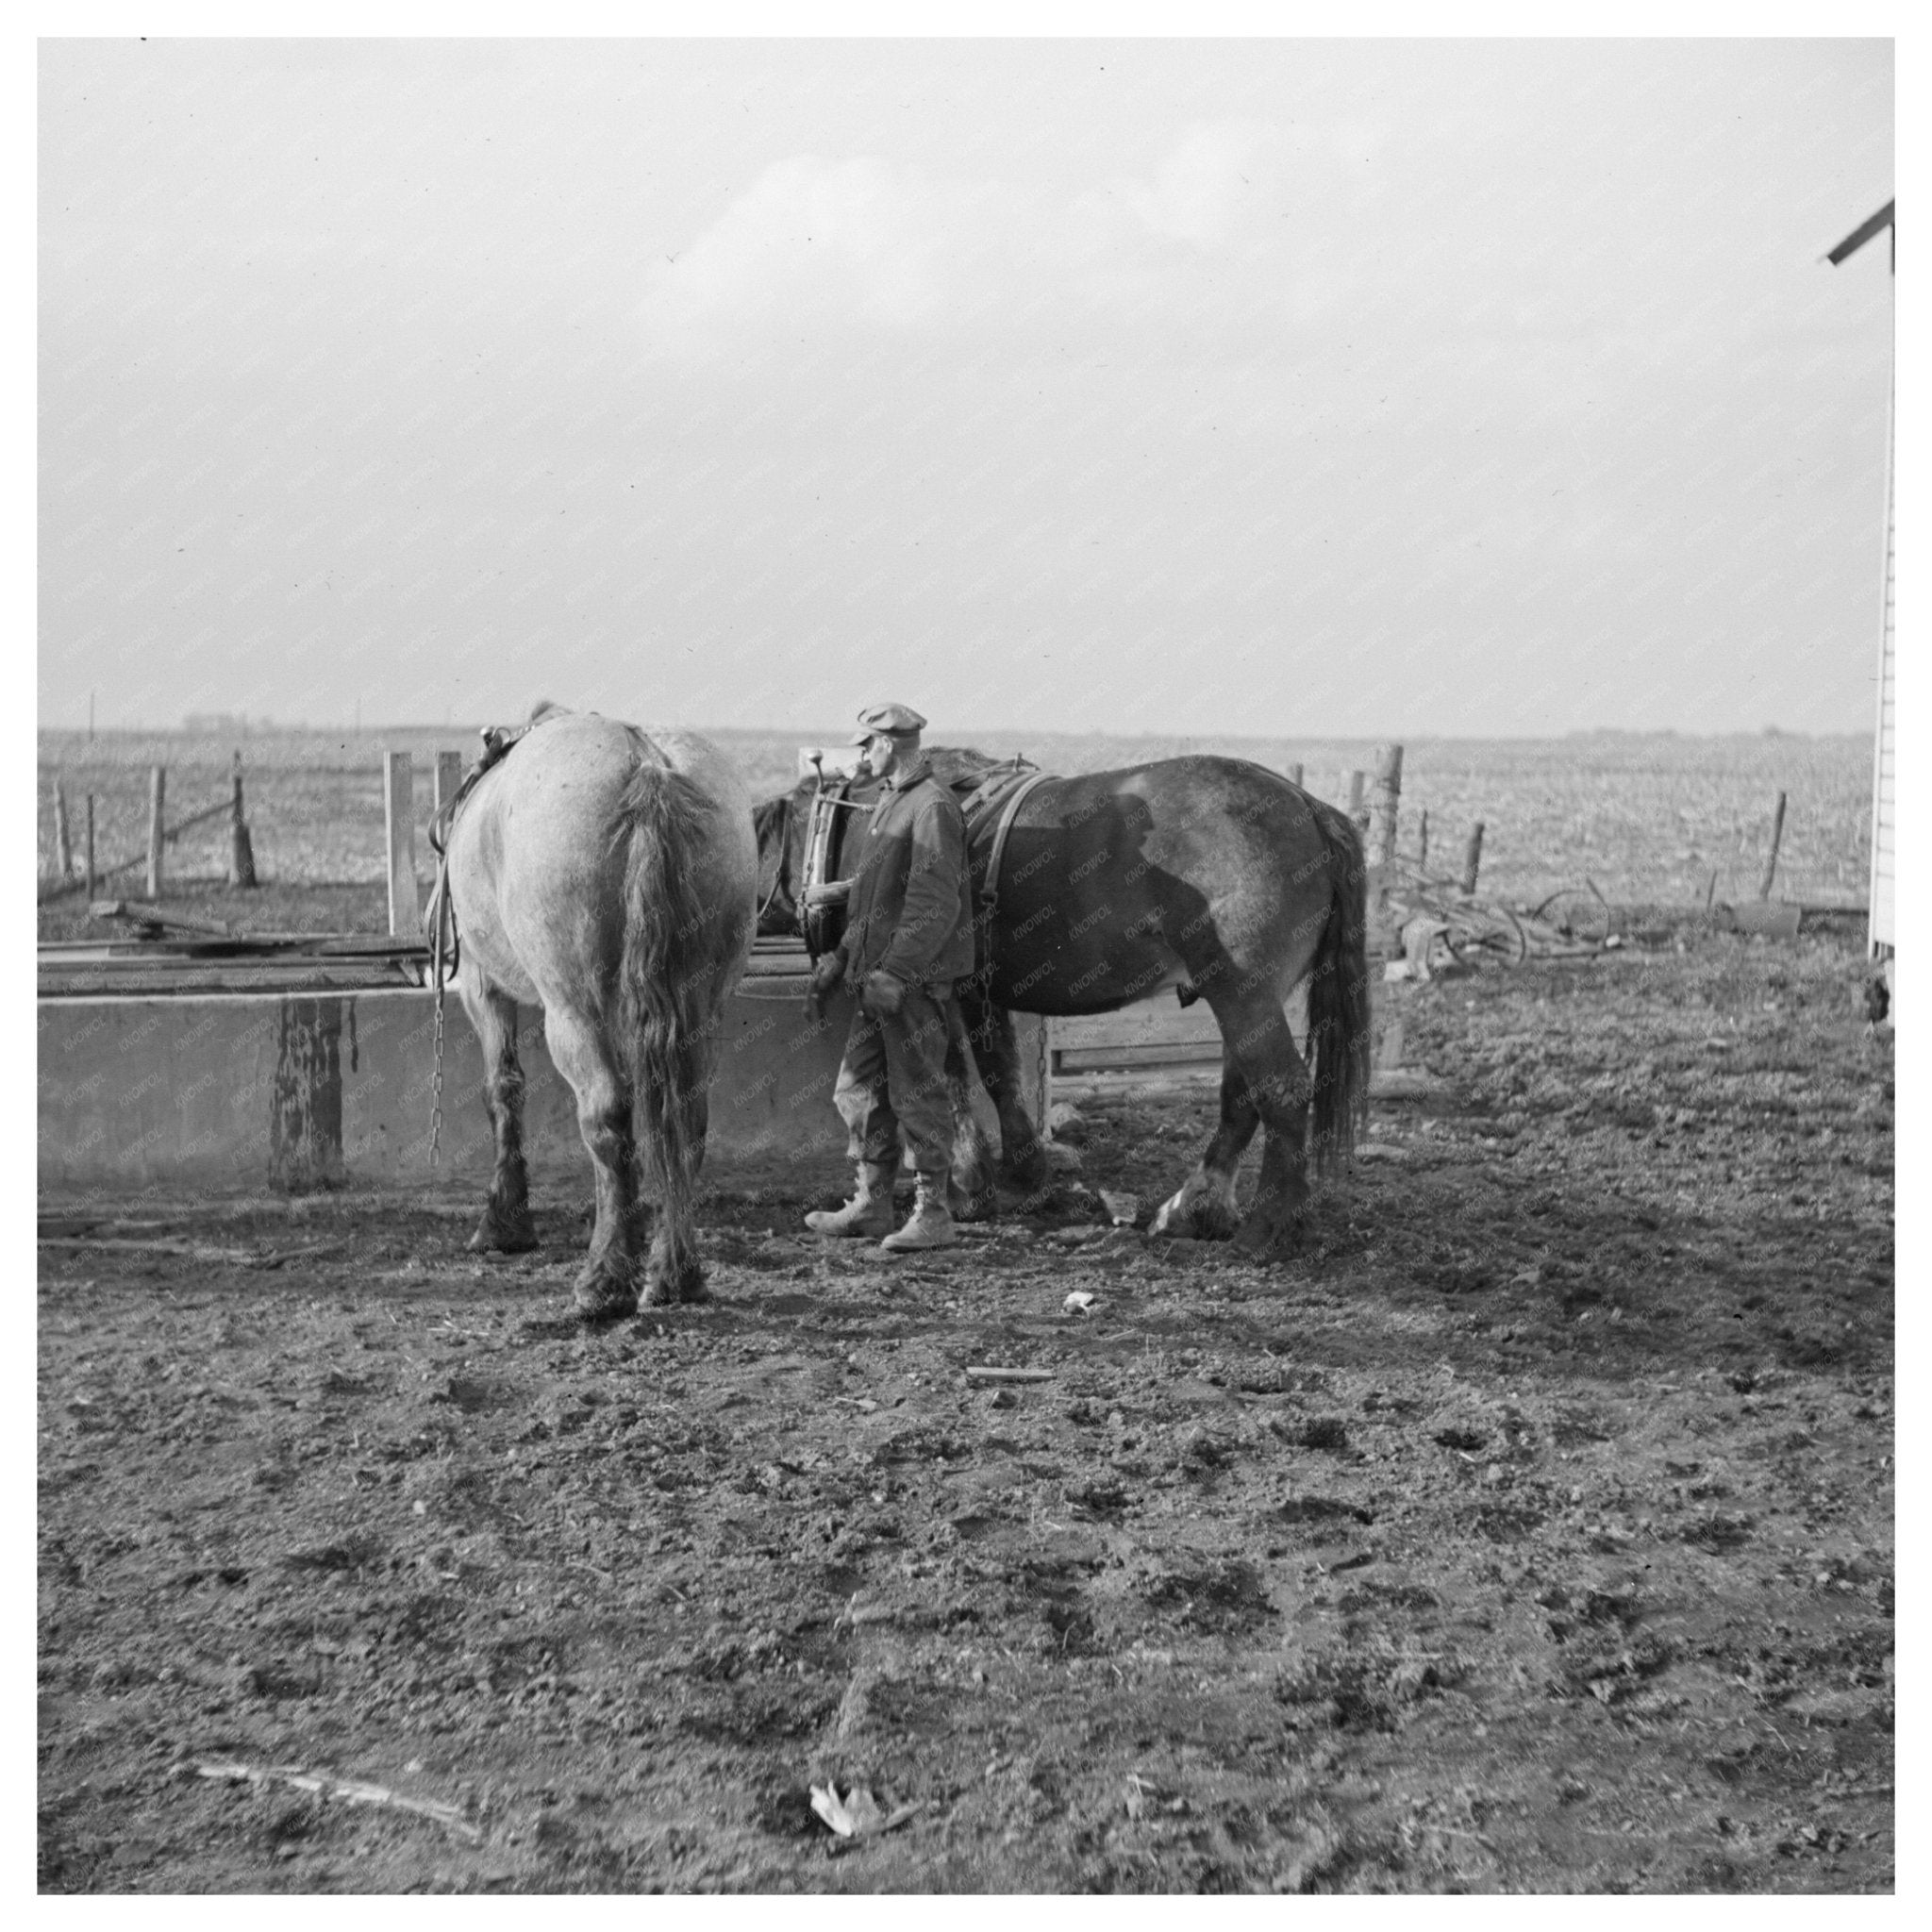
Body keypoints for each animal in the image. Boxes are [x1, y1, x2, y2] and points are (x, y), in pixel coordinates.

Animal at [441, 718, 753, 1321]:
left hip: (574, 1012)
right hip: (700, 1005)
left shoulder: (481, 986)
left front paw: (503, 1222)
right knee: (686, 1121)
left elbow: (502, 1089)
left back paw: (605, 1279)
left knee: (607, 1116)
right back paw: (675, 1274)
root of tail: (648, 766)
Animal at [745, 738, 1367, 1252]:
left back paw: (1267, 1227)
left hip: (1244, 993)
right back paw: (1196, 1206)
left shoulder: (937, 985)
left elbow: (954, 1077)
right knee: (1242, 1096)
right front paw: (1022, 1176)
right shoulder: (980, 989)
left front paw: (970, 1183)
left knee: (1280, 1091)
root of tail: (1310, 807)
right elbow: (999, 1070)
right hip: (1247, 997)